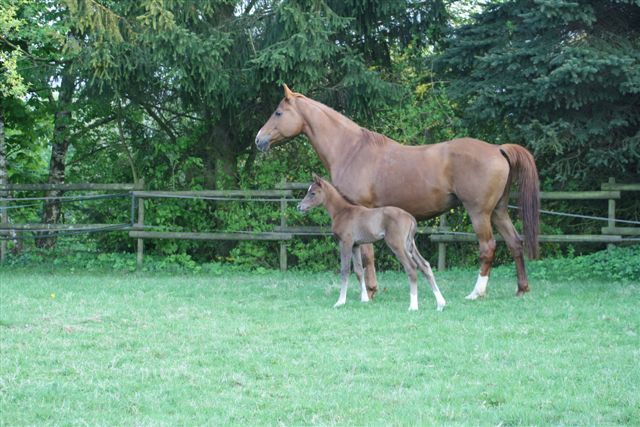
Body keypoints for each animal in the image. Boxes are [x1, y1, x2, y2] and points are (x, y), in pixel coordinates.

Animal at [298, 174, 446, 311]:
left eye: (312, 193)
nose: (299, 207)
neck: (342, 211)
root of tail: (410, 218)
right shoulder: (356, 245)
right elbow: (359, 270)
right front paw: (364, 299)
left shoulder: (345, 242)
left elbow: (345, 270)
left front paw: (340, 302)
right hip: (409, 244)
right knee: (425, 265)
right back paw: (440, 304)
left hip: (397, 245)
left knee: (411, 267)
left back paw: (413, 306)